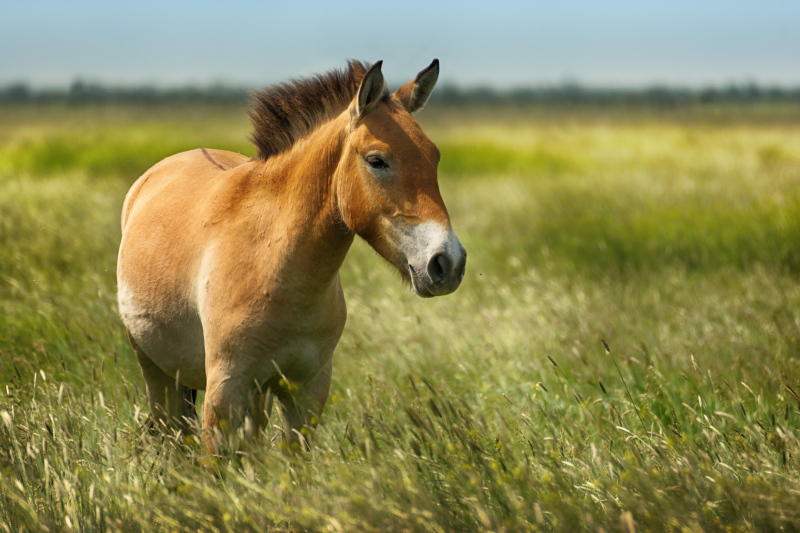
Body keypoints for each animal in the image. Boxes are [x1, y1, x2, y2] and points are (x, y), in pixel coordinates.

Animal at [119, 59, 468, 454]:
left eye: (434, 157)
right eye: (377, 161)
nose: (448, 263)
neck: (273, 264)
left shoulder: (307, 391)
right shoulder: (224, 392)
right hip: (157, 372)